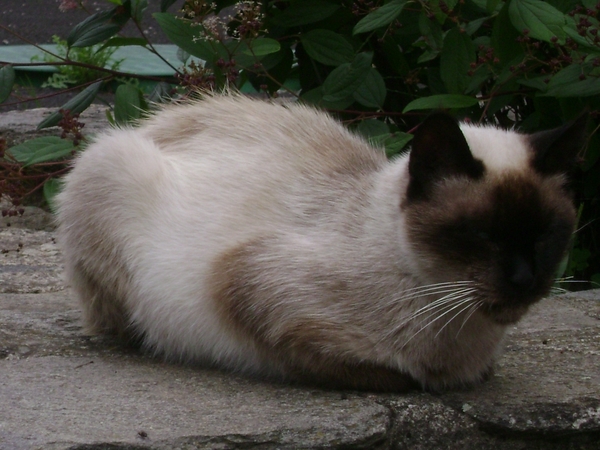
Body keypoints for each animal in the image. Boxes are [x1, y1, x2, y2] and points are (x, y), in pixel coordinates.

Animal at [56, 94, 584, 390]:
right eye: (481, 234)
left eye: (547, 235)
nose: (524, 279)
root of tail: (159, 123)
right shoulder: (247, 283)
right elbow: (380, 376)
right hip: (111, 162)